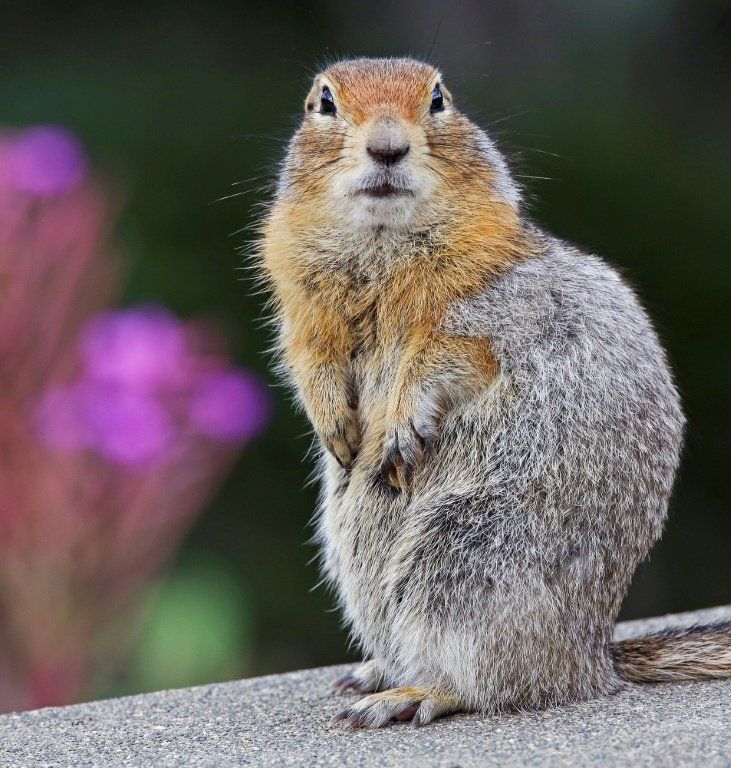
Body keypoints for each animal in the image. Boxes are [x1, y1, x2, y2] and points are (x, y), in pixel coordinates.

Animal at [257, 57, 731, 728]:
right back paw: (375, 672)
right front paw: (334, 425)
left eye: (439, 99)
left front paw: (399, 424)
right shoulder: (305, 311)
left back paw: (412, 694)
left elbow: (447, 357)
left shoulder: (491, 307)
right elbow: (308, 357)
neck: (380, 248)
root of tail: (593, 657)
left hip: (465, 553)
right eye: (323, 101)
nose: (387, 146)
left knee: (496, 681)